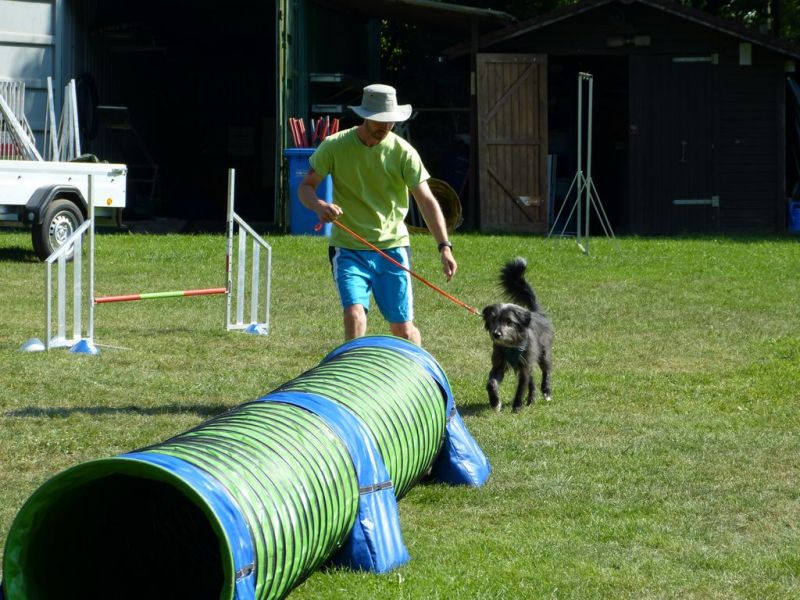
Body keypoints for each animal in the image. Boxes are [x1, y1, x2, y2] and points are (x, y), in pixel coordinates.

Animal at [482, 257, 554, 412]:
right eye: (493, 319)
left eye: (509, 321)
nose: (496, 334)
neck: (511, 345)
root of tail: (536, 313)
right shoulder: (499, 365)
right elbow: (491, 383)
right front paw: (495, 402)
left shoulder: (524, 366)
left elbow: (521, 387)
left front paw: (517, 407)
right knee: (532, 382)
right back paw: (531, 400)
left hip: (543, 353)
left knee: (546, 371)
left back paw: (546, 391)